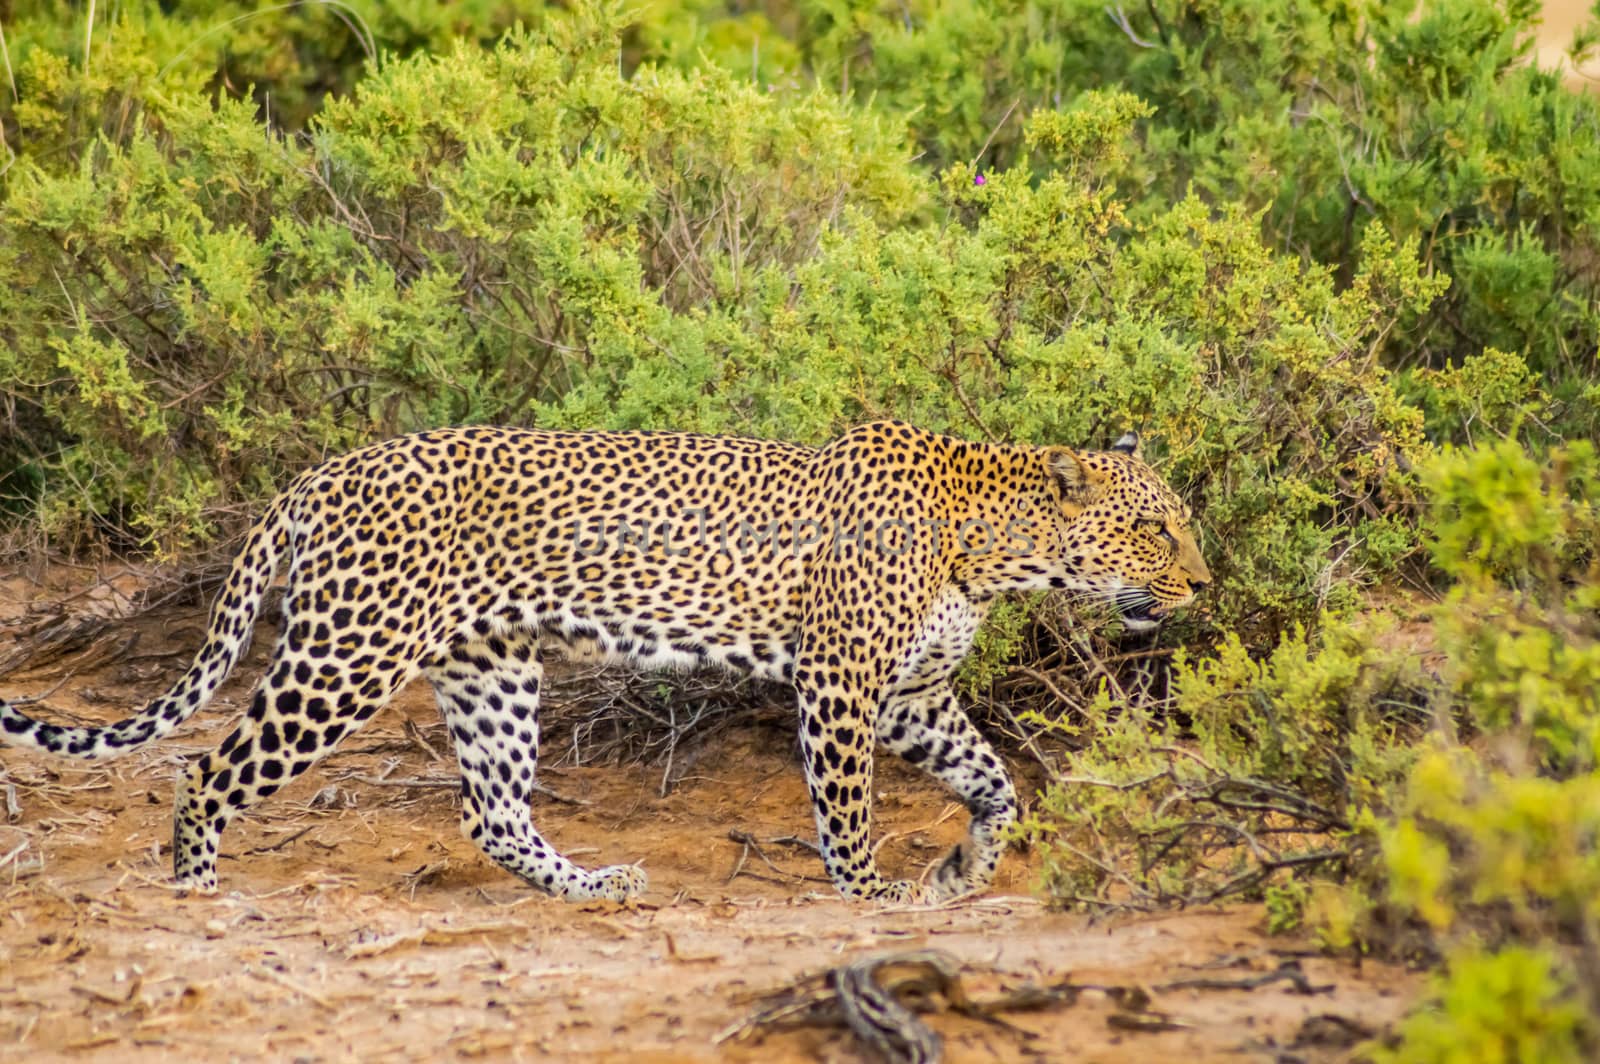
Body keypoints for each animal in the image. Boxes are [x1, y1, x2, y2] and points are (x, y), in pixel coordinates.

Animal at [0, 419, 1203, 902]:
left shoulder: (912, 694)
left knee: (491, 810)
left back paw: (593, 886)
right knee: (207, 767)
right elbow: (848, 807)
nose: (1201, 585)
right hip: (349, 653)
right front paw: (872, 894)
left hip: (491, 668)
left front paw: (963, 869)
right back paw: (197, 894)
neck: (993, 550)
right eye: (1154, 531)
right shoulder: (842, 682)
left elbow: (994, 782)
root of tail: (325, 468)